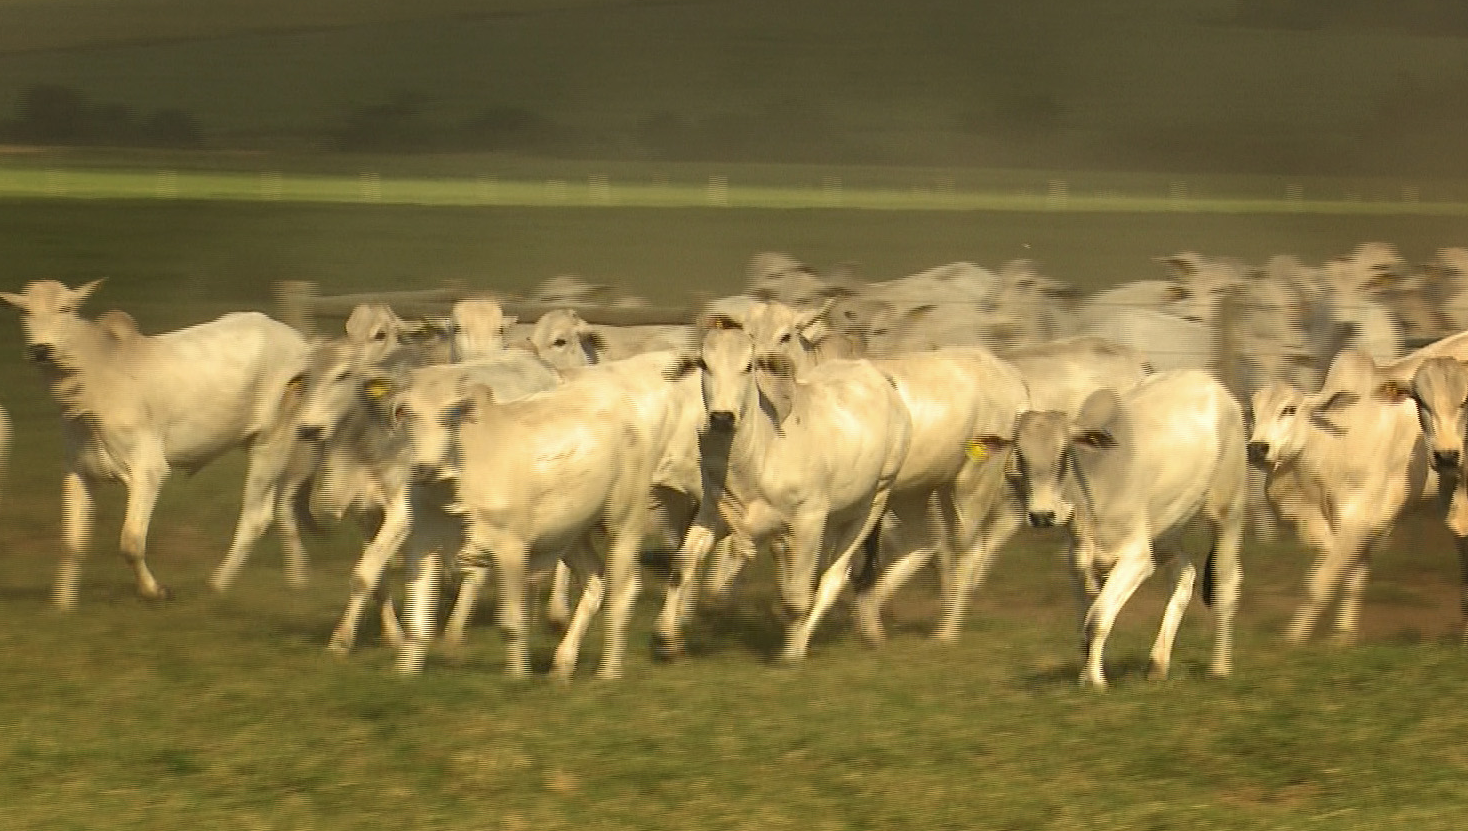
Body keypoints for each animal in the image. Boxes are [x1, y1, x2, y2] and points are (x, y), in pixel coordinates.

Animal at [0, 283, 309, 607]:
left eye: (66, 308)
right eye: (24, 311)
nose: (41, 349)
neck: (92, 381)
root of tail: (295, 338)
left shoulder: (148, 470)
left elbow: (131, 541)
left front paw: (155, 590)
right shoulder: (79, 472)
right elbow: (71, 542)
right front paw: (62, 604)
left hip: (271, 441)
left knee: (257, 516)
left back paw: (217, 586)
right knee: (281, 507)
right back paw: (296, 581)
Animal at [974, 371, 1238, 690]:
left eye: (1064, 453)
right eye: (1020, 454)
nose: (1042, 515)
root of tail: (1211, 382)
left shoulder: (1136, 559)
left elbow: (1097, 619)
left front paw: (1096, 682)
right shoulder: (1078, 562)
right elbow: (1085, 627)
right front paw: (1086, 676)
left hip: (1228, 512)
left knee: (1226, 583)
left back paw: (1220, 668)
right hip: (1166, 532)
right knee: (1183, 575)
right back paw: (1157, 665)